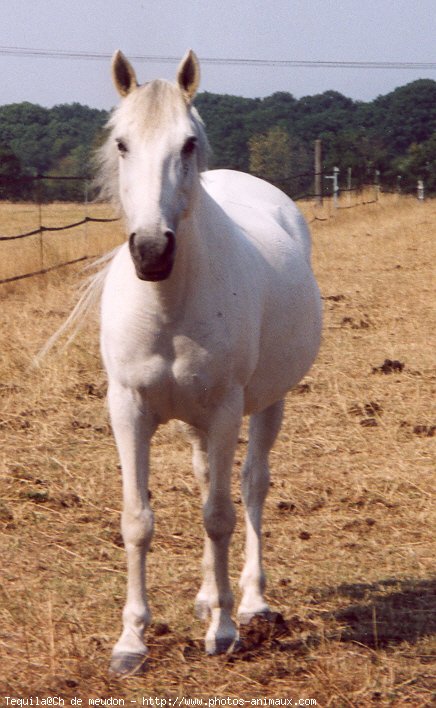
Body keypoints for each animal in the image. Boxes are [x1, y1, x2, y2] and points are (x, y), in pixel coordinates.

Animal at [98, 49, 320, 676]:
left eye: (189, 143)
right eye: (121, 143)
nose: (152, 251)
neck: (169, 304)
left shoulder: (224, 410)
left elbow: (219, 515)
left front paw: (223, 632)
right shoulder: (128, 409)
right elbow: (138, 520)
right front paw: (131, 641)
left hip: (267, 404)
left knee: (250, 487)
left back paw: (249, 602)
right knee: (206, 482)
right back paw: (205, 596)